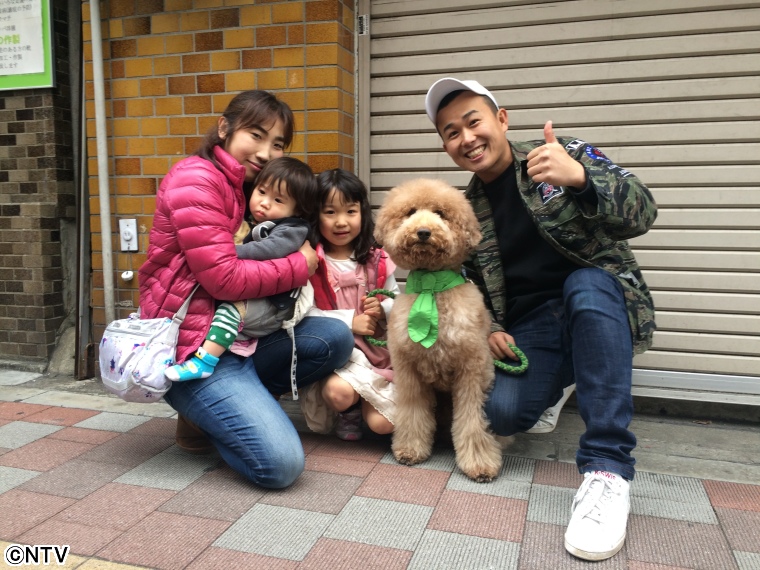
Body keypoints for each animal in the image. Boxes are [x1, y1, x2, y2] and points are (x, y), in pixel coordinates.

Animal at [374, 178, 503, 482]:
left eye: (441, 214)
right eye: (410, 212)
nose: (423, 232)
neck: (432, 287)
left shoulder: (471, 370)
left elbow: (471, 420)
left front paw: (479, 463)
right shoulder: (408, 370)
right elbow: (412, 413)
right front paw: (410, 449)